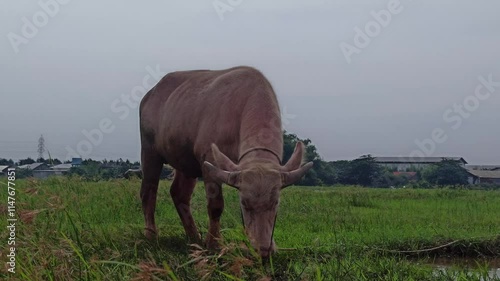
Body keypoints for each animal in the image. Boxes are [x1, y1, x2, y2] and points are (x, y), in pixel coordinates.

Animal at [140, 65, 312, 256]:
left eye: (276, 203)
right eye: (244, 203)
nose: (262, 249)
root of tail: (150, 95)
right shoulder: (209, 162)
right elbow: (215, 206)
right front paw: (214, 244)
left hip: (186, 163)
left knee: (179, 193)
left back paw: (194, 237)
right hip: (149, 151)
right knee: (148, 191)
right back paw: (151, 235)